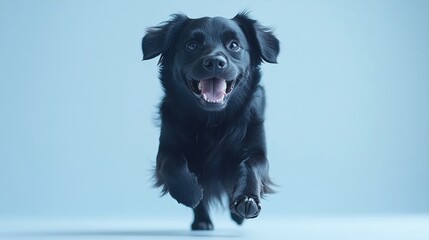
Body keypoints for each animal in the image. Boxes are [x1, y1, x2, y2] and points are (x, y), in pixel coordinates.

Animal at [142, 12, 280, 230]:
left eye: (234, 45)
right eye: (191, 45)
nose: (215, 62)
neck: (213, 121)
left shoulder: (257, 150)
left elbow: (251, 167)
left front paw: (246, 201)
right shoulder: (167, 147)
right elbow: (172, 165)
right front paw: (190, 193)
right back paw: (202, 220)